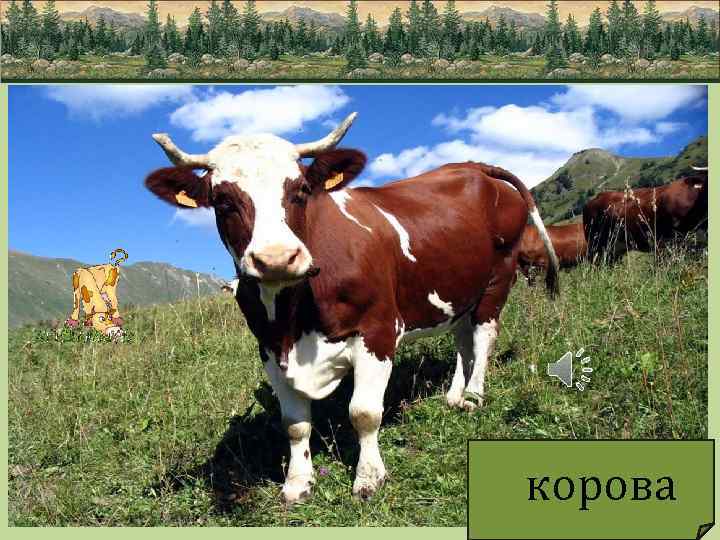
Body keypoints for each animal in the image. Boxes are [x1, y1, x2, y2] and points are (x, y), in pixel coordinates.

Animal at [144, 113, 559, 504]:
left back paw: (473, 396)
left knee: (484, 335)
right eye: (222, 200)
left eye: (301, 190)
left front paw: (369, 476)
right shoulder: (268, 348)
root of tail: (475, 166)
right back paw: (455, 395)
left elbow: (363, 412)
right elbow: (294, 423)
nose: (277, 259)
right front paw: (297, 482)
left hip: (498, 278)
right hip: (457, 289)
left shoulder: (377, 332)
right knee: (462, 338)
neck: (295, 321)